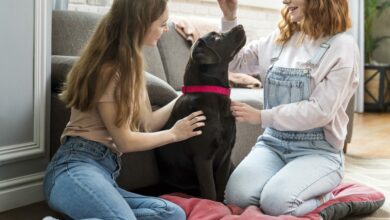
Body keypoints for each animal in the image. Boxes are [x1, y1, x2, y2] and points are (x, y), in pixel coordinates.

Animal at [154, 24, 245, 201]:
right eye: (216, 37)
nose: (240, 25)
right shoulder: (202, 158)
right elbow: (210, 192)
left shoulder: (226, 155)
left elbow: (221, 189)